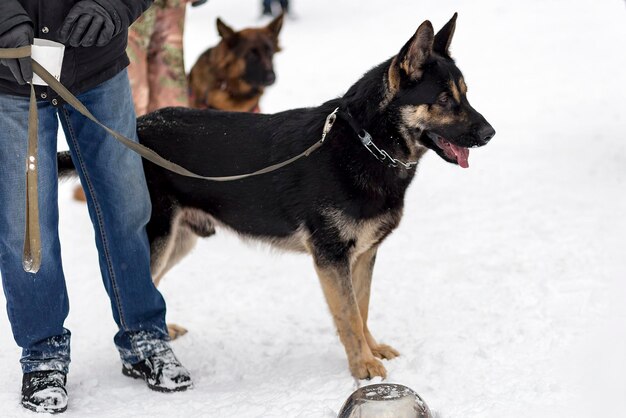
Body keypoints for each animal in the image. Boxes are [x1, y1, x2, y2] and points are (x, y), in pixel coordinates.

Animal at [61, 13, 494, 378]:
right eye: (444, 100)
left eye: (466, 93)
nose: (490, 133)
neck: (367, 142)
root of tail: (136, 128)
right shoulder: (331, 259)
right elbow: (349, 317)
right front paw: (362, 367)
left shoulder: (363, 255)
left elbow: (363, 309)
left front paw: (370, 351)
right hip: (157, 238)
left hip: (178, 241)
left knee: (142, 290)